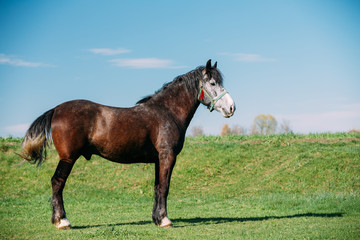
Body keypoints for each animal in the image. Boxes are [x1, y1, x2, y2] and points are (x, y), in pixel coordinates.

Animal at [21, 59, 238, 230]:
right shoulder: (168, 156)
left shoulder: (158, 160)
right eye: (213, 82)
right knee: (57, 183)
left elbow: (157, 187)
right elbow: (165, 186)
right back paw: (62, 221)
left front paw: (156, 219)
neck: (167, 111)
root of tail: (56, 109)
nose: (231, 107)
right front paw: (165, 220)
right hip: (68, 158)